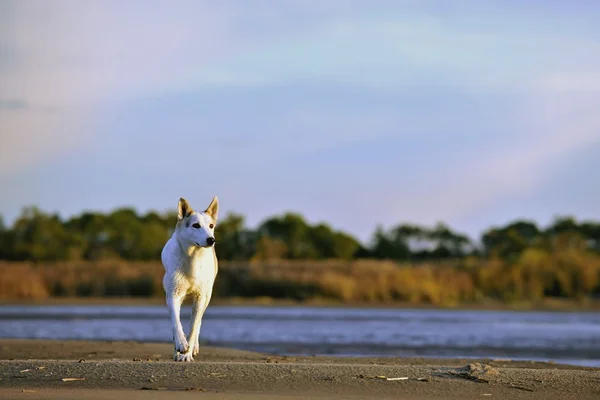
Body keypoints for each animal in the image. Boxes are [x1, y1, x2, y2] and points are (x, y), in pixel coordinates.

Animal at [162, 195, 220, 360]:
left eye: (211, 225)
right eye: (196, 225)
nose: (211, 240)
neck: (192, 258)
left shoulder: (201, 296)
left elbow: (194, 326)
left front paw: (187, 354)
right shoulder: (173, 294)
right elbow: (176, 322)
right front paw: (181, 344)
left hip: (207, 295)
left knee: (198, 320)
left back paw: (193, 347)